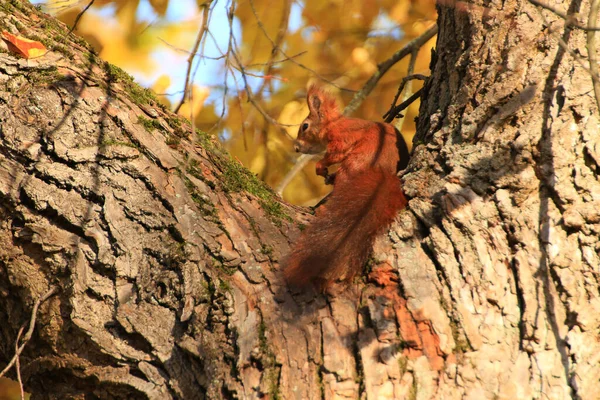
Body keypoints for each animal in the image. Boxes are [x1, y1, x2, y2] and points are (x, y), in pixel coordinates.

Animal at [282, 86, 408, 290]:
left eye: (305, 126)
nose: (296, 148)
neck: (335, 124)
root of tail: (384, 174)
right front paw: (326, 176)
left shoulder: (342, 137)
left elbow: (335, 153)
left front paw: (320, 167)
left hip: (350, 168)